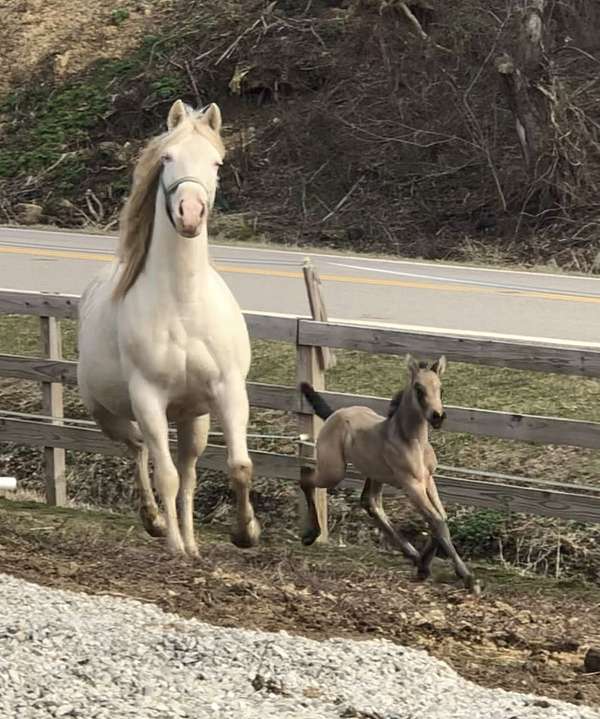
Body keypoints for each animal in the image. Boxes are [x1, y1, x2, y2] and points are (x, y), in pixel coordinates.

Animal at [77, 98, 260, 556]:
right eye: (167, 157)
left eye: (216, 162)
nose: (190, 214)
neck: (183, 305)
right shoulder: (148, 399)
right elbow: (166, 477)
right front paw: (174, 547)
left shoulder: (229, 391)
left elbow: (238, 466)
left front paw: (245, 533)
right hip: (109, 414)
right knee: (140, 451)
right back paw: (157, 523)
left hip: (193, 419)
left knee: (188, 470)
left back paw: (192, 542)